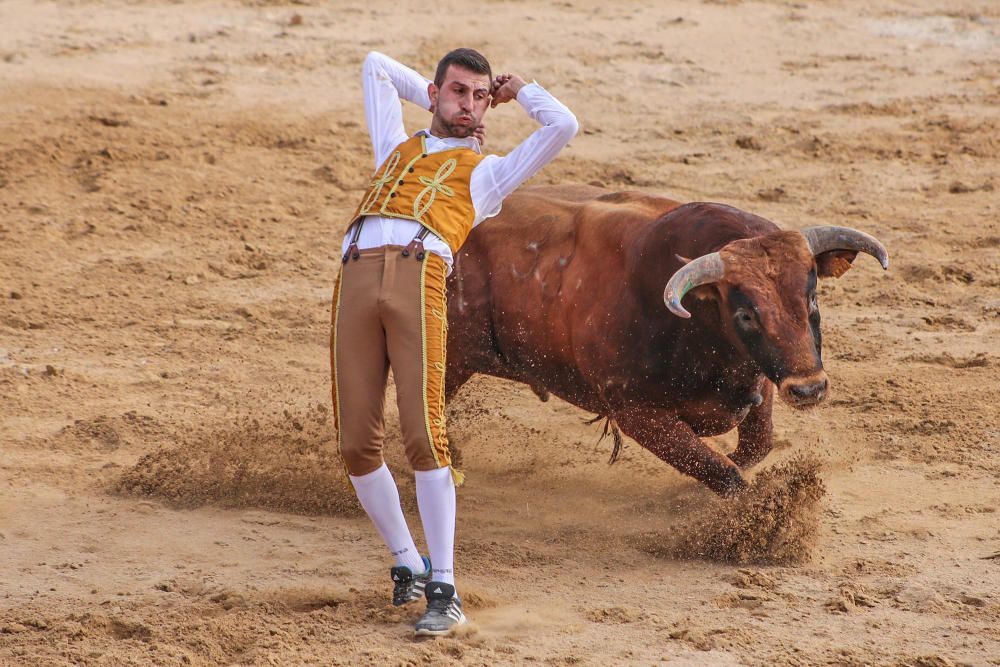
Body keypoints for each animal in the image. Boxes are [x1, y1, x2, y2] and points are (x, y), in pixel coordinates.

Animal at [448, 184, 892, 496]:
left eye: (811, 297)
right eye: (746, 314)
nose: (809, 389)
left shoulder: (760, 379)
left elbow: (755, 446)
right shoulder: (636, 412)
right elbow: (722, 472)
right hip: (451, 359)